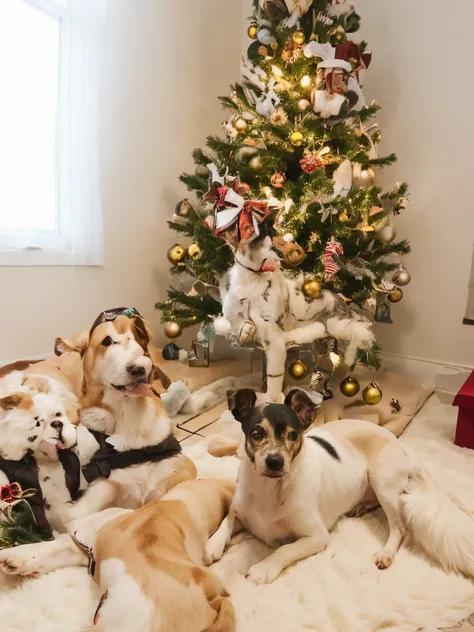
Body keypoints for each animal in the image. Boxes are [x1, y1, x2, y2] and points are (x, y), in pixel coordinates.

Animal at [206, 388, 474, 584]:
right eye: (256, 433)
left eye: (293, 435)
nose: (275, 461)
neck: (269, 489)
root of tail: (399, 442)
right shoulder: (240, 511)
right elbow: (226, 520)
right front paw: (212, 545)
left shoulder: (316, 537)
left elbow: (284, 550)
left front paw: (263, 569)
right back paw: (361, 507)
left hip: (380, 478)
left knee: (400, 528)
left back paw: (385, 553)